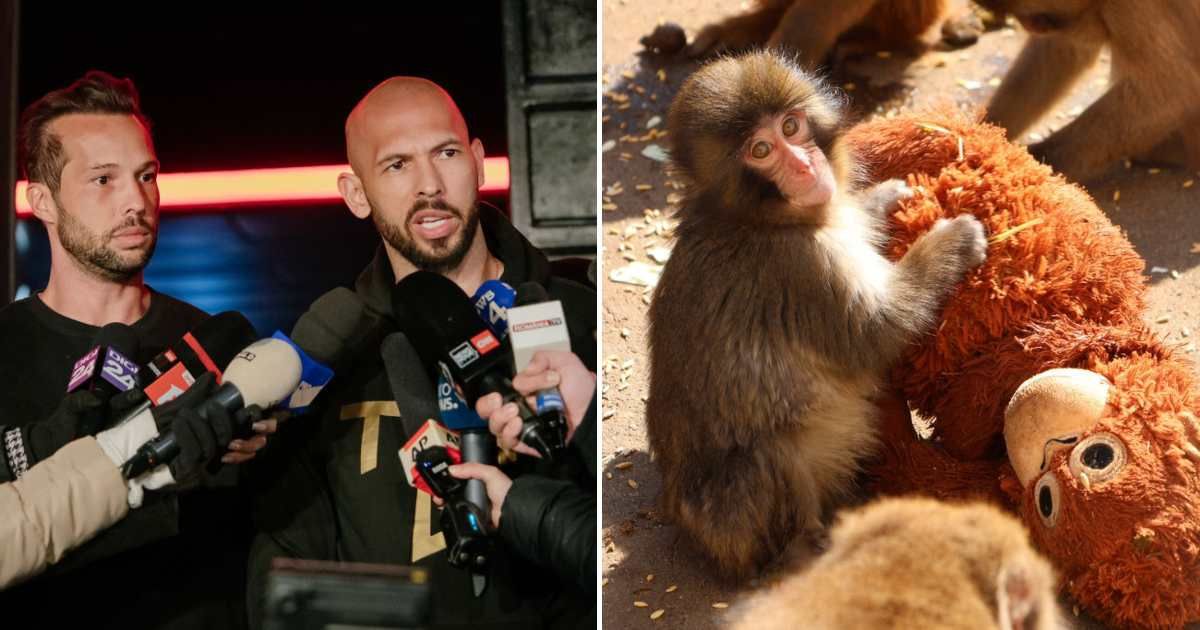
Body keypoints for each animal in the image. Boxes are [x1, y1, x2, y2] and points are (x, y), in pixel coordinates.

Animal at [646, 50, 989, 582]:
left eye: (792, 126)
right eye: (761, 150)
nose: (805, 165)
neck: (759, 218)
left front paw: (880, 199)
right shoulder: (802, 267)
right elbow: (876, 332)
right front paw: (950, 243)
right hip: (735, 521)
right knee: (769, 454)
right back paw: (807, 550)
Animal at [979, 0, 1200, 181]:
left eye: (1036, 18)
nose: (1030, 26)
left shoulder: (1132, 5)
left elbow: (1171, 90)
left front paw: (1033, 165)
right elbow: (1064, 48)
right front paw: (986, 129)